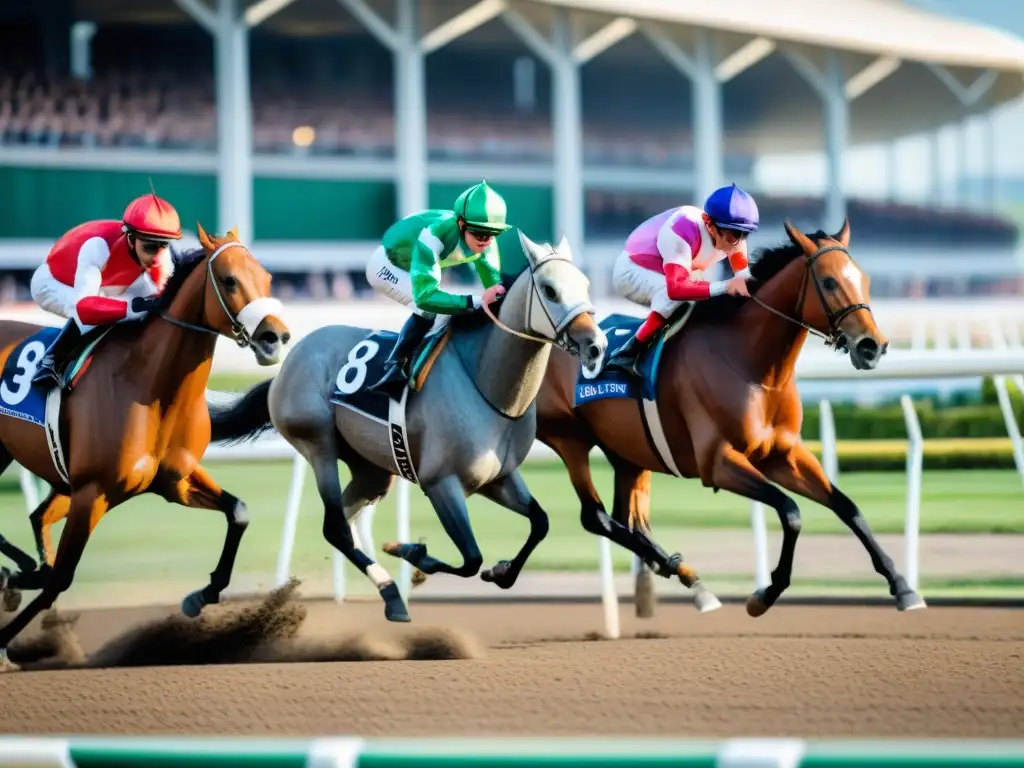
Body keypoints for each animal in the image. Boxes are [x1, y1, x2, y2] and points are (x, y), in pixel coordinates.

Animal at [0, 224, 290, 667]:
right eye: (229, 280)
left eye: (269, 279)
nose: (275, 338)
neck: (149, 386)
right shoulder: (92, 493)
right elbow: (60, 580)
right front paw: (3, 642)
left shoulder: (174, 481)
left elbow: (238, 512)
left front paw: (201, 595)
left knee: (38, 517)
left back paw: (22, 570)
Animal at [207, 231, 606, 622]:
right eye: (550, 290)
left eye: (586, 285)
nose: (596, 346)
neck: (487, 384)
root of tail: (286, 365)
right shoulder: (441, 483)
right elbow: (471, 558)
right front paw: (411, 552)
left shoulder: (499, 478)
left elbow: (540, 522)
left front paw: (501, 571)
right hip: (318, 442)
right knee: (337, 525)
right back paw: (393, 597)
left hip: (371, 469)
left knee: (341, 523)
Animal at [536, 219, 929, 618]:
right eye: (830, 281)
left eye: (864, 278)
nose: (872, 346)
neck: (751, 365)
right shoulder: (718, 461)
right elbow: (791, 511)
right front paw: (766, 593)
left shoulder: (784, 454)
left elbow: (848, 507)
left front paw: (902, 586)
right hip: (569, 437)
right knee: (595, 516)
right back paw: (684, 575)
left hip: (628, 449)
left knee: (629, 521)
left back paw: (684, 575)